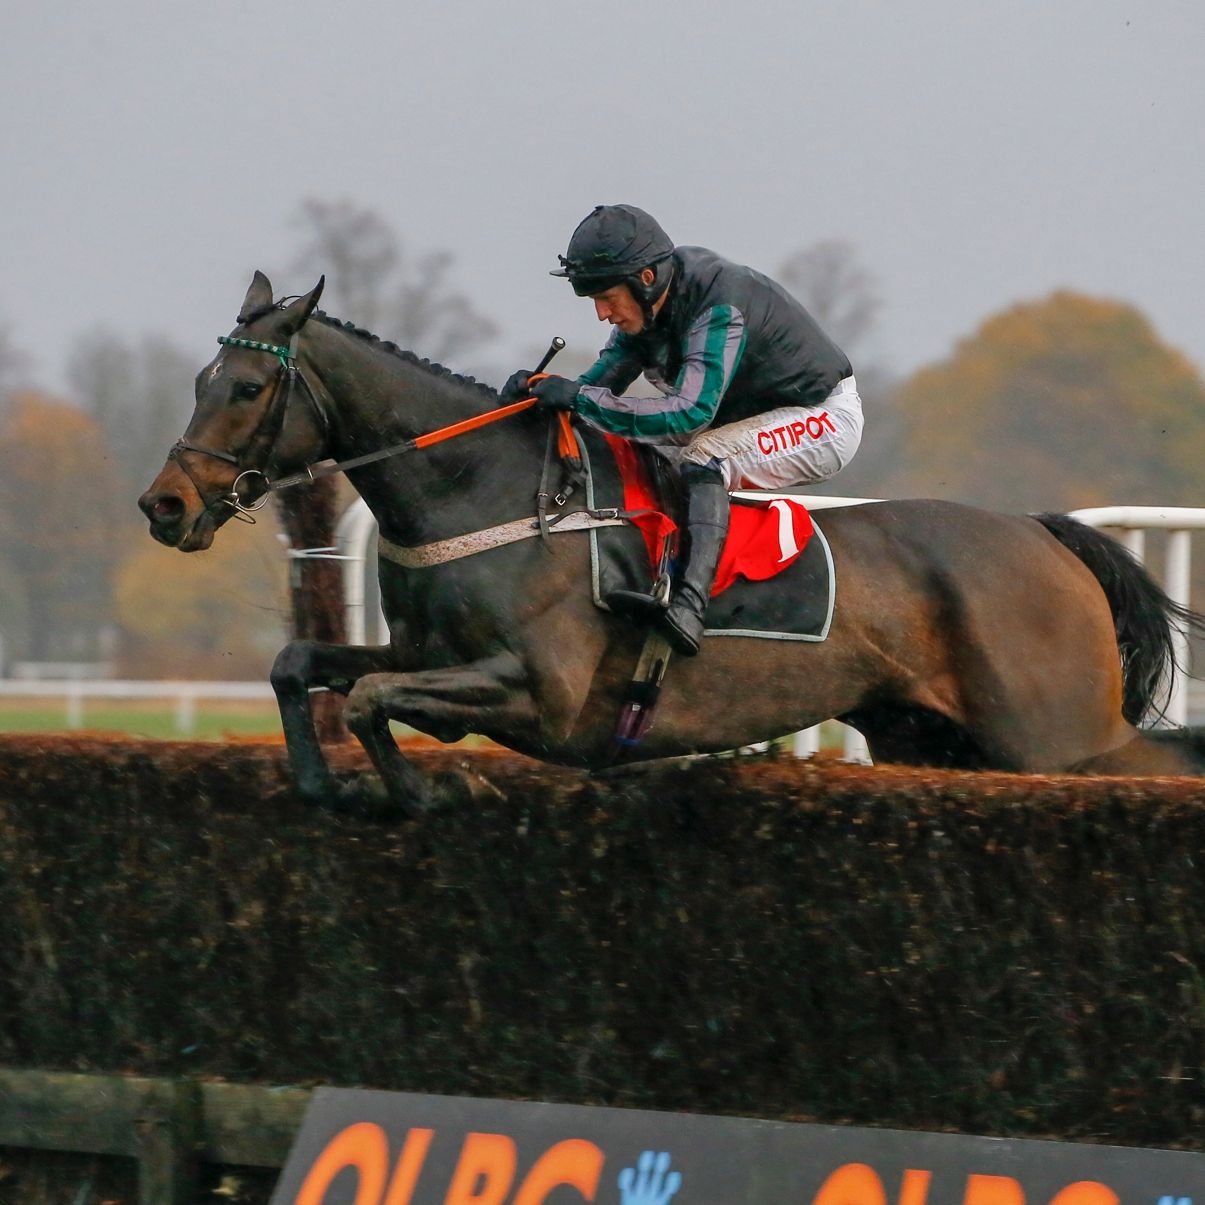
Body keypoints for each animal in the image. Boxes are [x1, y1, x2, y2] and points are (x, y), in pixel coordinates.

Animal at [139, 272, 1205, 814]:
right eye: (197, 380)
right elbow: (303, 665)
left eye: (246, 388)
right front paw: (323, 781)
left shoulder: (542, 694)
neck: (486, 494)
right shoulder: (421, 651)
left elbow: (368, 701)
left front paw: (433, 790)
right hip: (929, 738)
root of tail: (1041, 534)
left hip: (1055, 739)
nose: (164, 506)